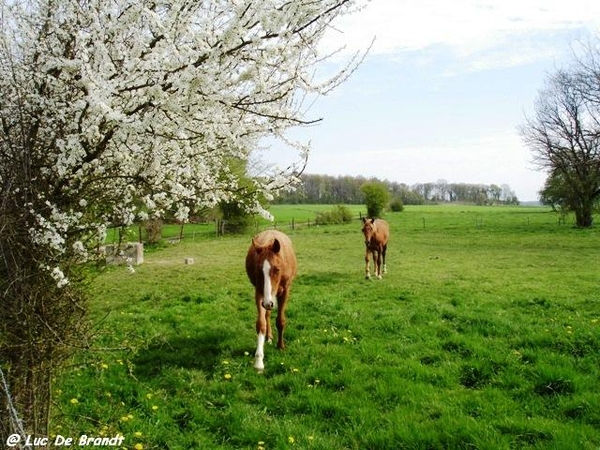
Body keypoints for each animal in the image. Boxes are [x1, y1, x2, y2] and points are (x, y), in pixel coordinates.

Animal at [246, 230, 298, 370]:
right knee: (267, 314)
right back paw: (268, 337)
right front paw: (259, 361)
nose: (268, 303)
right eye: (258, 269)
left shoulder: (285, 291)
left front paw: (281, 346)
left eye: (277, 269)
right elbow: (261, 324)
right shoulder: (259, 292)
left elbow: (280, 321)